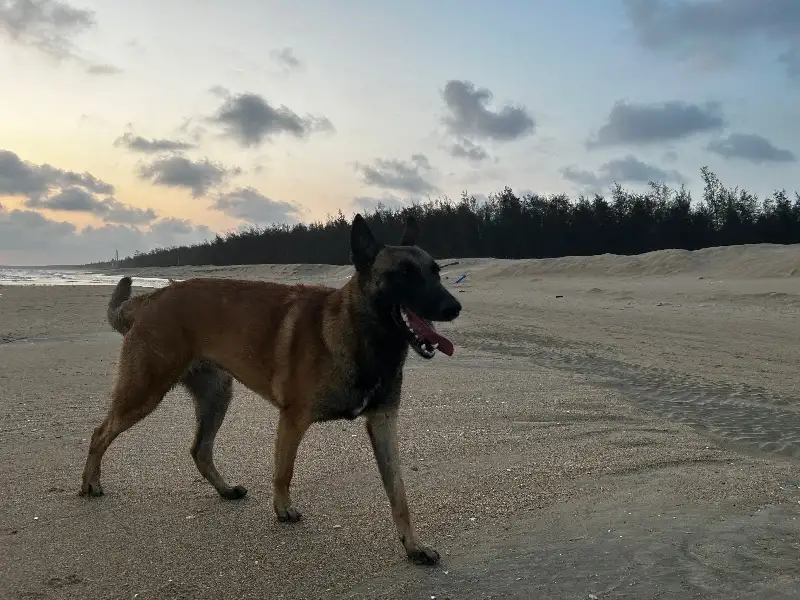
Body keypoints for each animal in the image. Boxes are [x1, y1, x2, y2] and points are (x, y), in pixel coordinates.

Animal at [79, 213, 462, 564]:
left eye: (435, 272)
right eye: (404, 273)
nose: (454, 308)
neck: (359, 334)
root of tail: (151, 298)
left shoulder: (383, 423)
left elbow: (399, 492)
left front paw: (413, 545)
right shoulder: (293, 419)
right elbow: (284, 471)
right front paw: (282, 509)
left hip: (216, 398)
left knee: (200, 450)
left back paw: (224, 489)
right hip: (144, 393)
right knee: (100, 433)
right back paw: (89, 483)